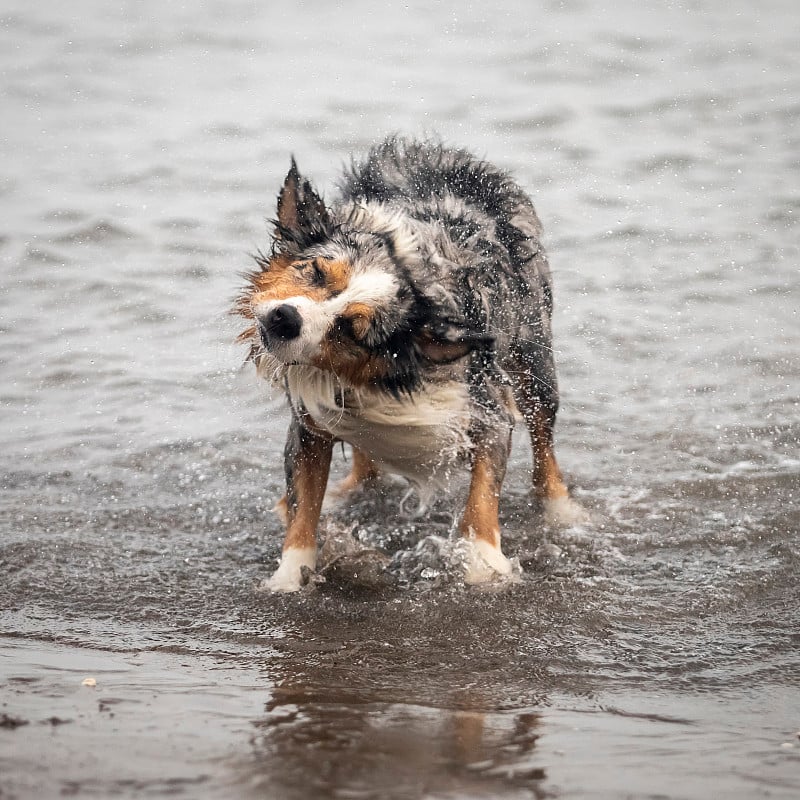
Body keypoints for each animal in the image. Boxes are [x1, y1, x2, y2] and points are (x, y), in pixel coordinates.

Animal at [234, 136, 580, 592]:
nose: (283, 319)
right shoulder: (311, 421)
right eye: (315, 271)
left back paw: (562, 509)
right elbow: (304, 503)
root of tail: (447, 156)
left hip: (534, 358)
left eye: (352, 329)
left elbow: (483, 494)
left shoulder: (486, 409)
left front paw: (483, 563)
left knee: (544, 443)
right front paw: (290, 576)